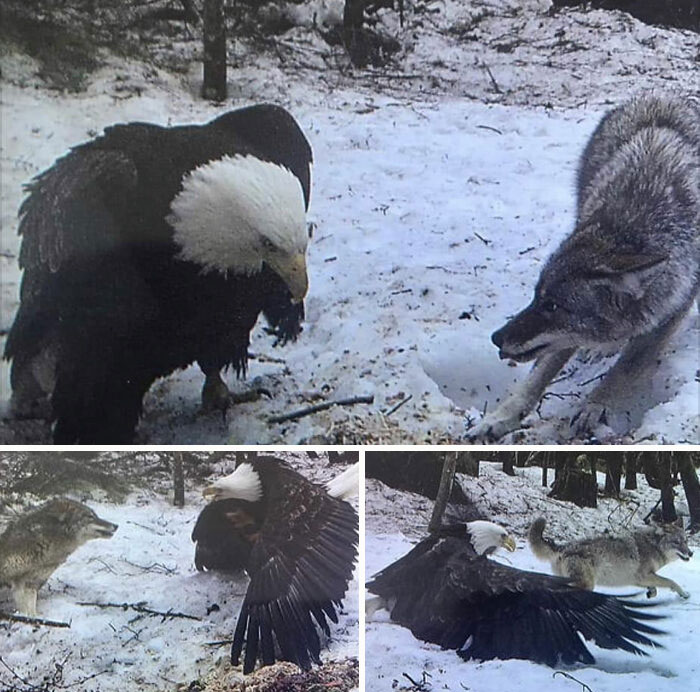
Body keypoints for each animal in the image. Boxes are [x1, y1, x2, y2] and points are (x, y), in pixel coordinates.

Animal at [469, 94, 700, 441]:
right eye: (536, 297)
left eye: (553, 306)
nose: (496, 338)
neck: (632, 224)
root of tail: (658, 94)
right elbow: (537, 376)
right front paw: (497, 418)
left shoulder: (672, 309)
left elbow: (626, 368)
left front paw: (595, 406)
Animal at [528, 516, 693, 599]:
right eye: (677, 542)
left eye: (686, 541)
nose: (691, 553)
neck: (653, 546)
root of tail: (562, 547)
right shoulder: (644, 576)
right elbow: (671, 582)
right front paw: (684, 594)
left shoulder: (637, 579)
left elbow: (655, 588)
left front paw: (651, 593)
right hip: (587, 585)